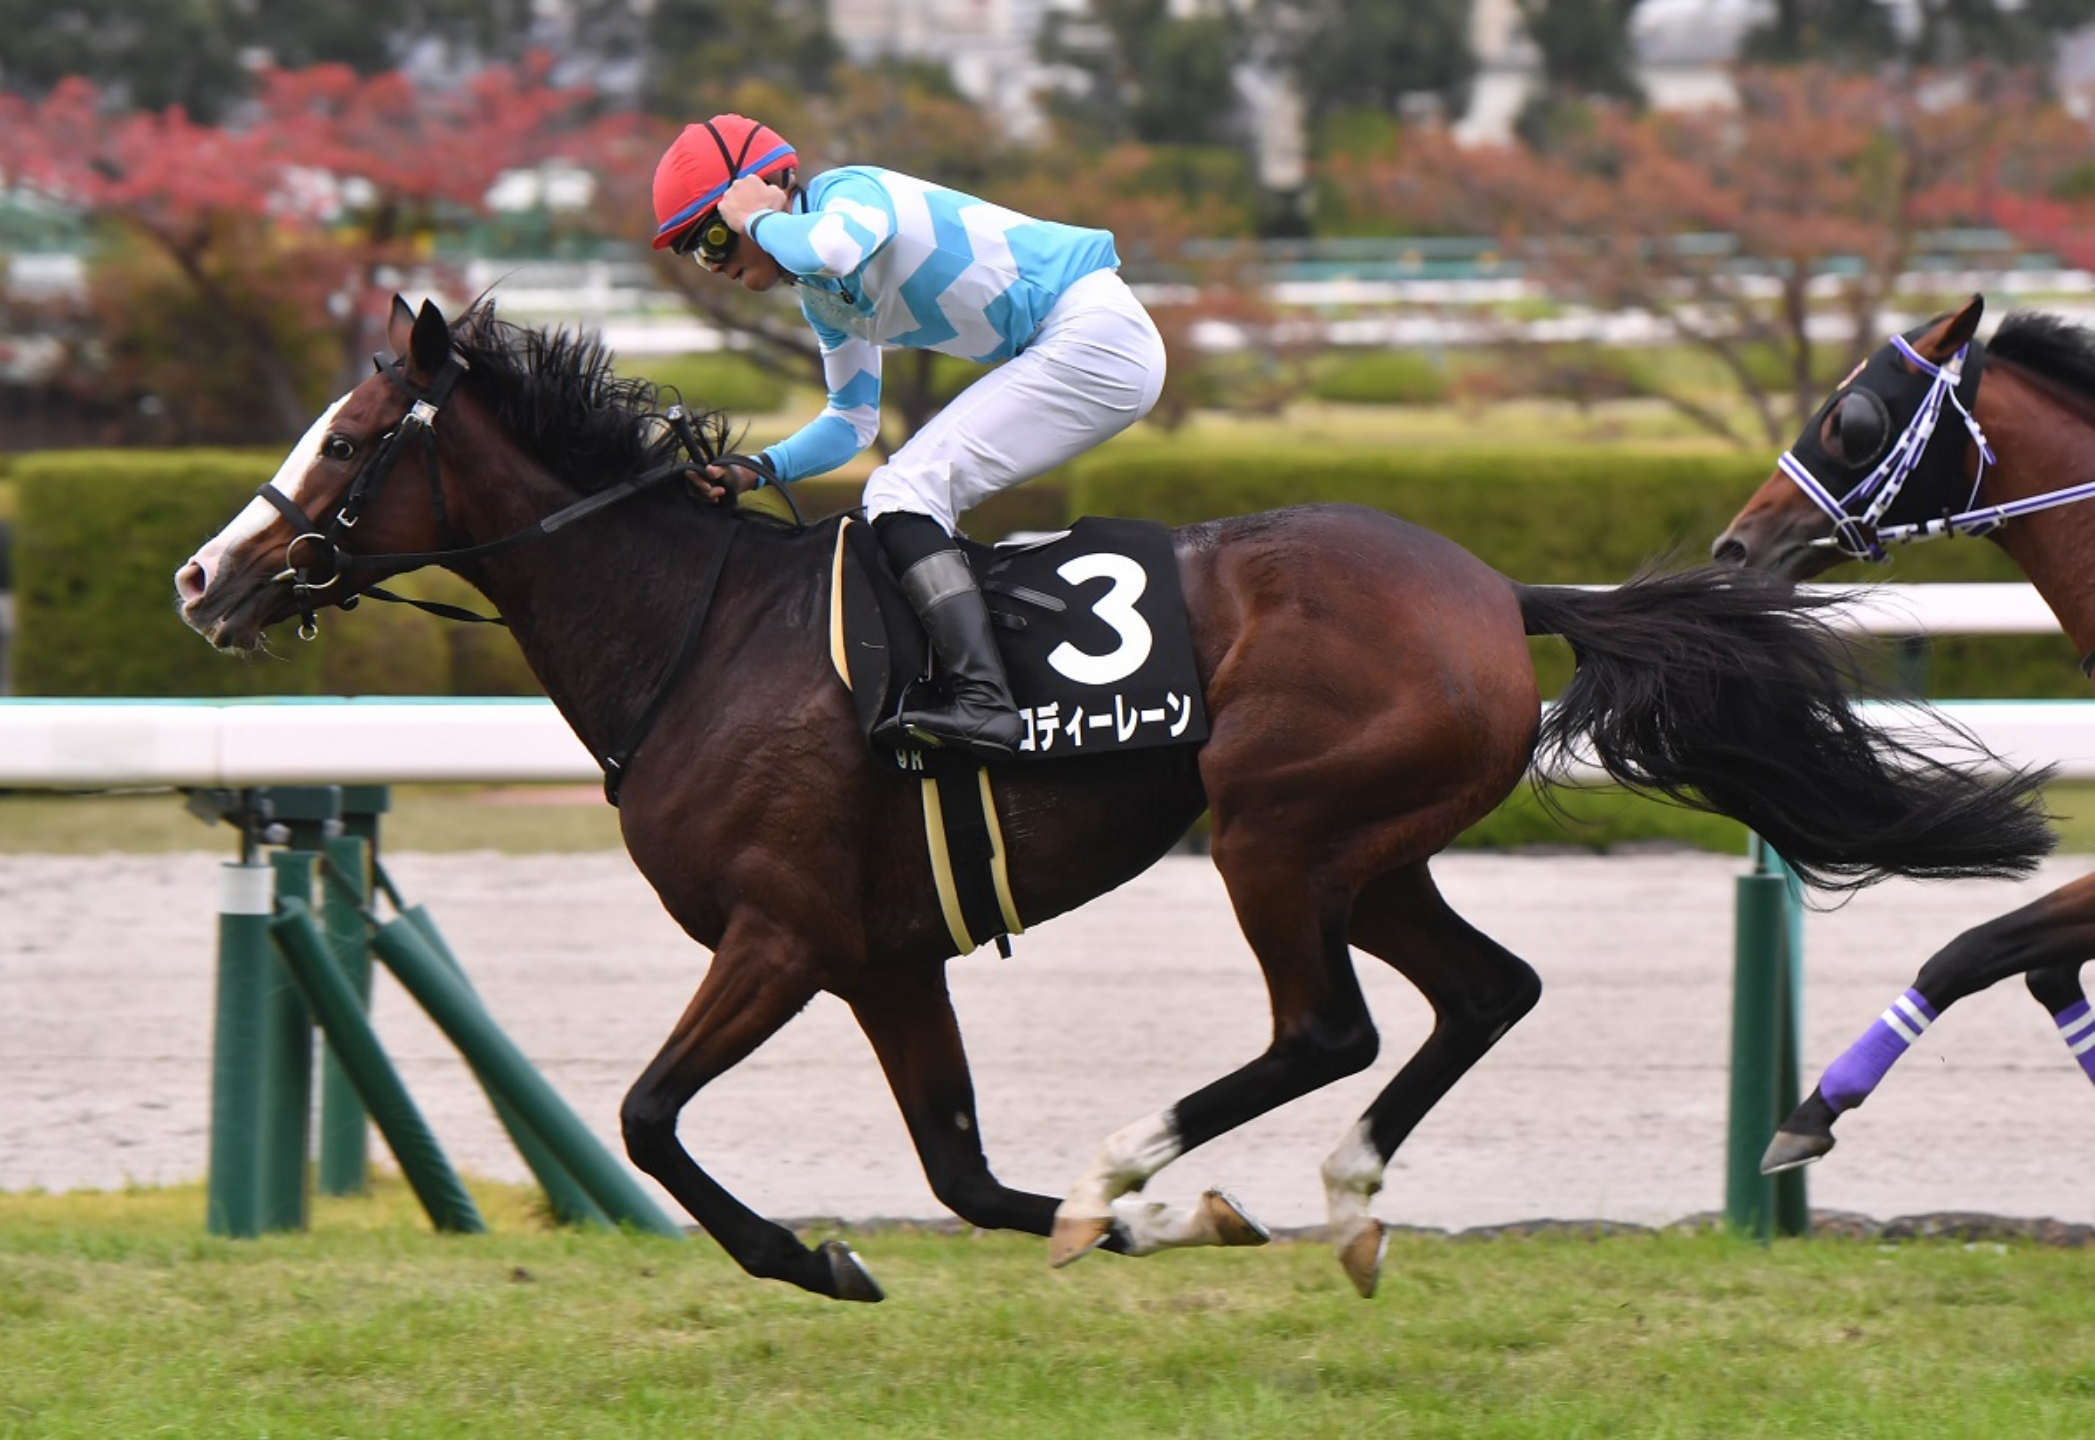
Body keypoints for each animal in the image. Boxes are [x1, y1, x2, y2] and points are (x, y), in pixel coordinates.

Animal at [176, 294, 2052, 1303]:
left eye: (347, 441)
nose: (202, 577)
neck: (701, 635)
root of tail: (1494, 589)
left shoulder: (781, 936)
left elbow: (648, 1119)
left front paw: (844, 1253)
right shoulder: (883, 956)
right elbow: (950, 1168)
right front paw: (1144, 1228)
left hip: (1273, 831)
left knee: (1325, 1028)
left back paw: (1150, 1159)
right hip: (1372, 850)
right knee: (1482, 992)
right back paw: (1337, 1203)